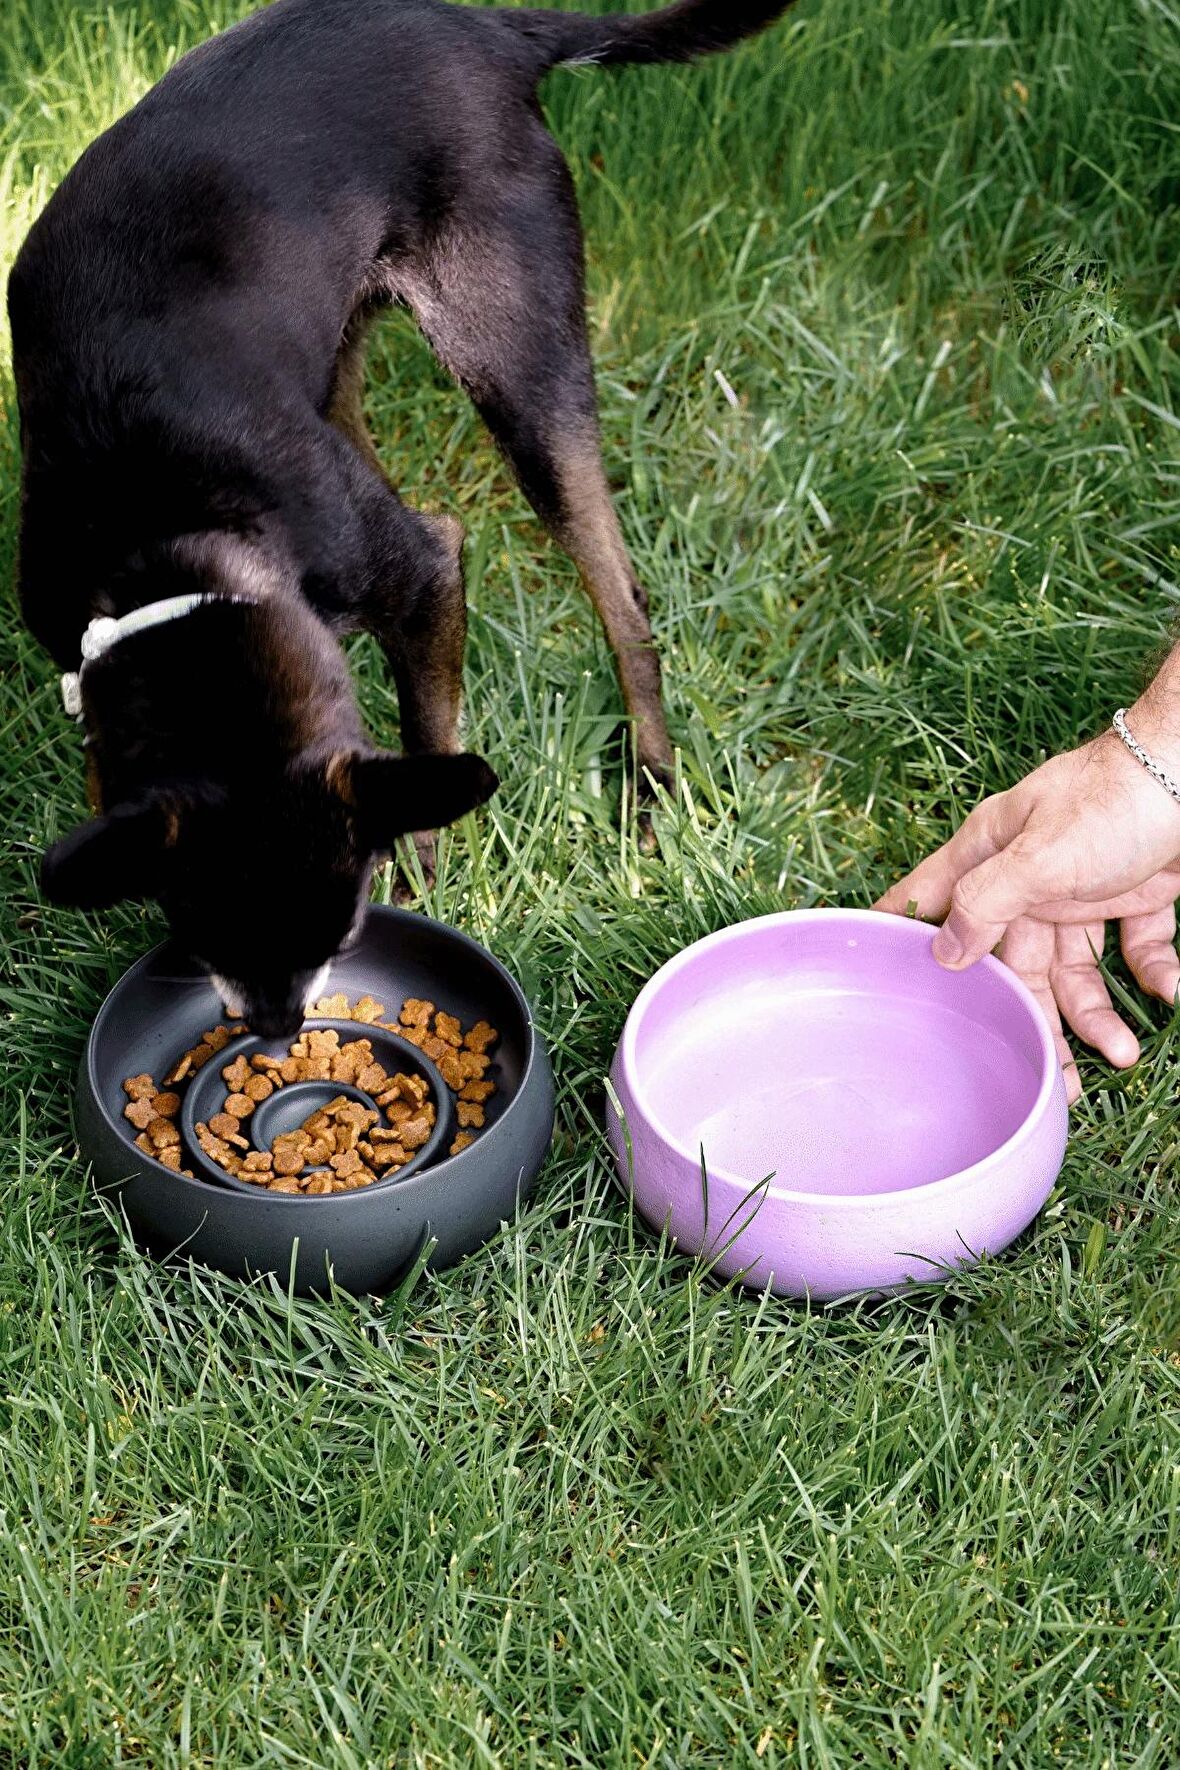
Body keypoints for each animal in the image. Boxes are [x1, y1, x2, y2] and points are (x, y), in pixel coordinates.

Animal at [11, 0, 792, 1033]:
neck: (166, 531)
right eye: (199, 932)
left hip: (518, 360)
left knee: (622, 598)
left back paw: (653, 795)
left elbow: (427, 744)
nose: (278, 1029)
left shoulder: (425, 573)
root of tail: (483, 27)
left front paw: (430, 892)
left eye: (341, 930)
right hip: (343, 360)